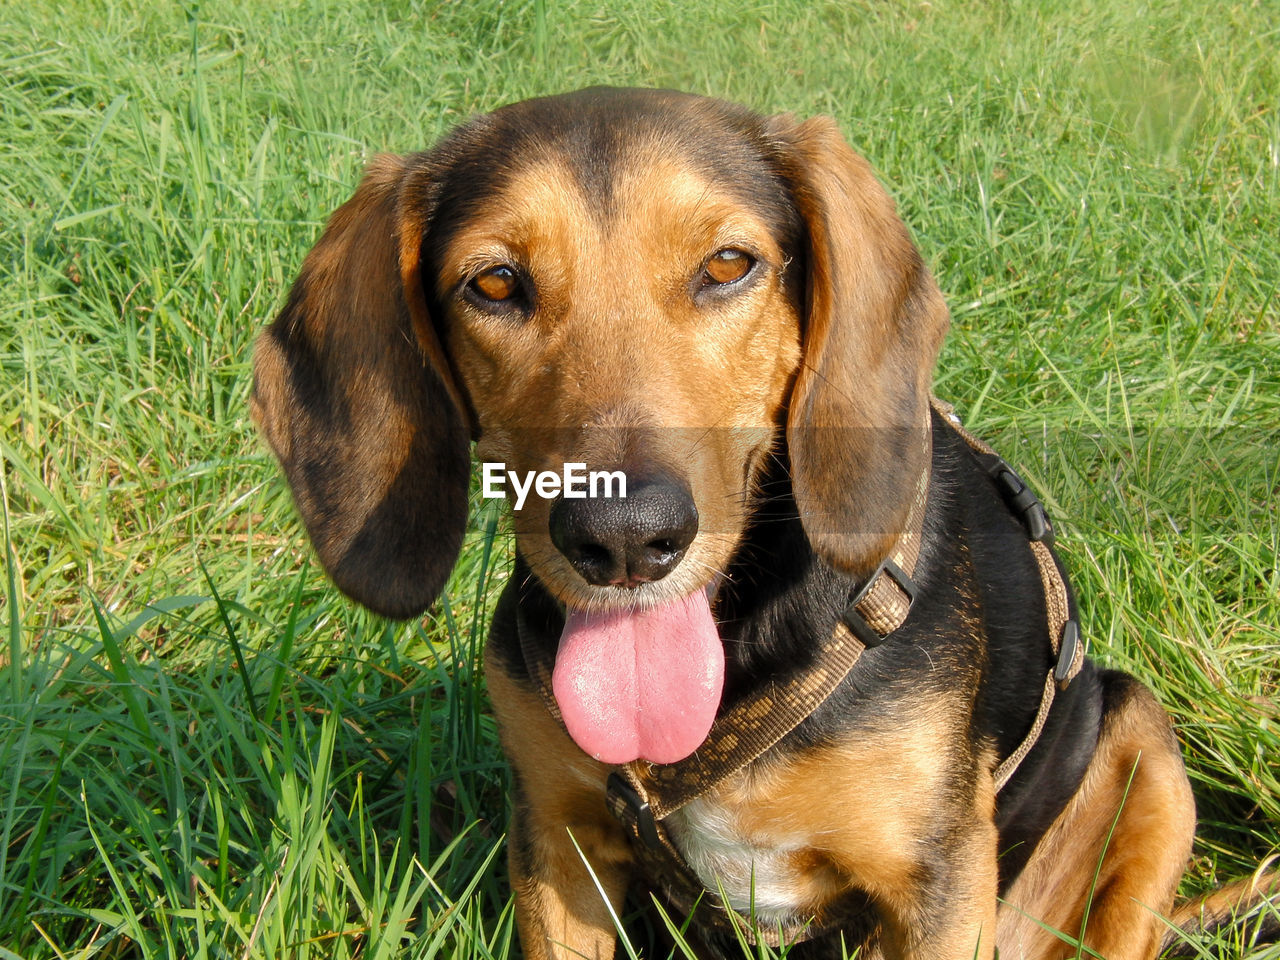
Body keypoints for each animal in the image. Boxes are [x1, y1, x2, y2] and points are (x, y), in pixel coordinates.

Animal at [252, 86, 1280, 957]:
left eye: (727, 265)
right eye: (495, 284)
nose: (624, 536)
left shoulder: (939, 885)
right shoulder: (558, 845)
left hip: (1142, 741)